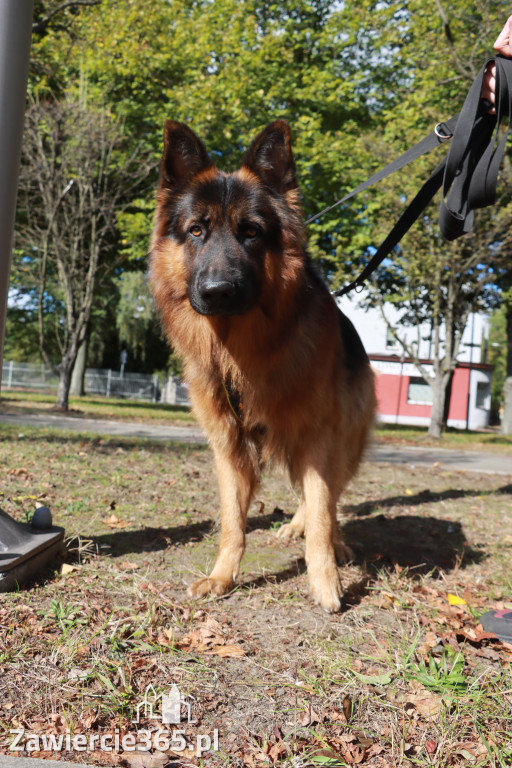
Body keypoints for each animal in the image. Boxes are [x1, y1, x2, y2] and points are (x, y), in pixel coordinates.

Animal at [150, 120, 374, 612]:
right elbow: (233, 522)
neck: (242, 351)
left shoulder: (316, 436)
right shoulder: (228, 446)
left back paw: (331, 540)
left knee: (332, 498)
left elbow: (323, 510)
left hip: (344, 440)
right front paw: (222, 577)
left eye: (251, 231)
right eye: (197, 230)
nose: (217, 292)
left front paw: (325, 580)